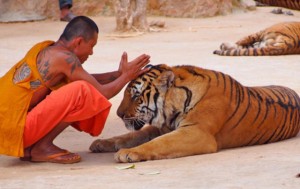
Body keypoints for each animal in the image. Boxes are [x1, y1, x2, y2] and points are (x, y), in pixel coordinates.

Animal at [89, 63, 300, 162]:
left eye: (135, 96)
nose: (119, 114)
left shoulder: (196, 132)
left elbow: (159, 143)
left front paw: (128, 153)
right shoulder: (160, 128)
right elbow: (130, 136)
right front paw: (101, 143)